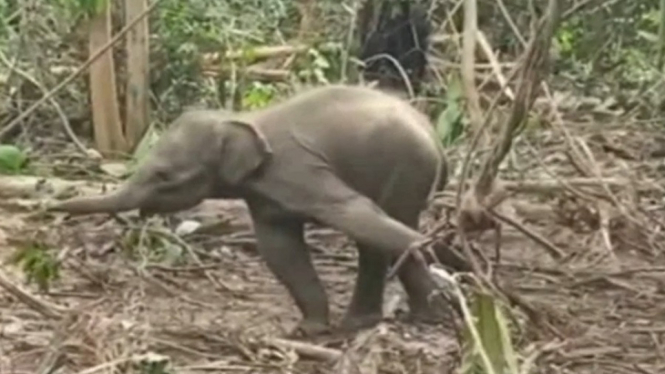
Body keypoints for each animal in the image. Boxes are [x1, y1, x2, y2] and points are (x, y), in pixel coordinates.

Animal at [49, 84, 448, 336]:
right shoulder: (265, 196)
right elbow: (279, 250)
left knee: (386, 221)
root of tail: (434, 134)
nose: (53, 204)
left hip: (408, 166)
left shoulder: (297, 169)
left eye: (163, 175)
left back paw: (423, 314)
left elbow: (348, 207)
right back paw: (366, 322)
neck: (239, 119)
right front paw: (307, 330)